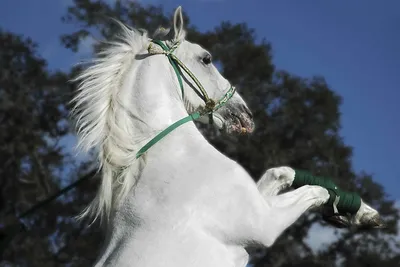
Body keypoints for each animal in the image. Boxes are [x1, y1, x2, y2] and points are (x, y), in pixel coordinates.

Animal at [72, 6, 384, 267]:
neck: (171, 157)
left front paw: (363, 212)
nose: (246, 115)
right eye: (206, 58)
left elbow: (281, 172)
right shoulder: (265, 224)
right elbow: (316, 190)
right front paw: (355, 212)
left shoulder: (260, 200)